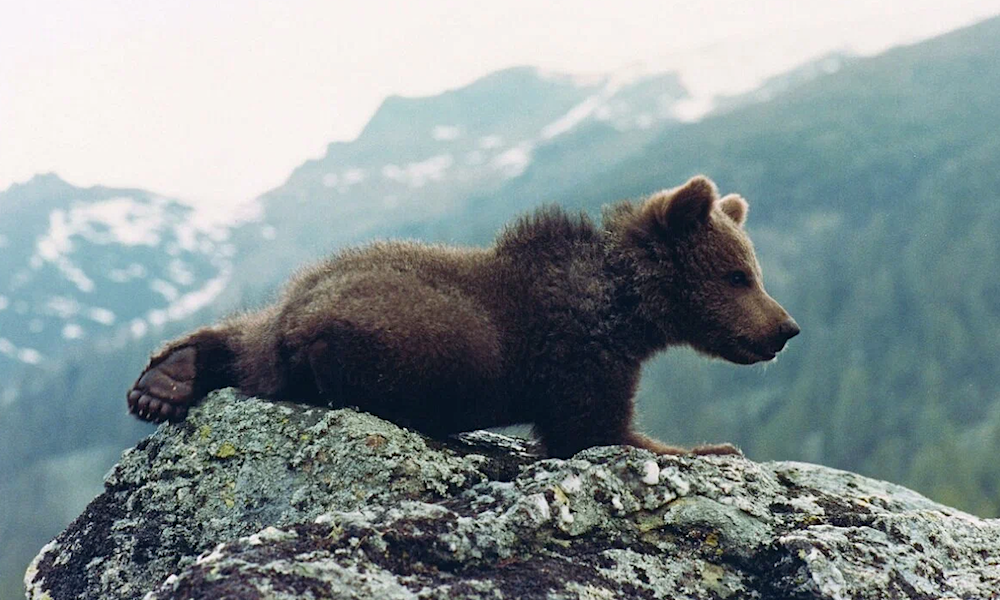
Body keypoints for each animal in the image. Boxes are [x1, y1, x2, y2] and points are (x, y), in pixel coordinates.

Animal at [127, 175, 799, 458]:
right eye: (737, 276)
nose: (786, 329)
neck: (625, 308)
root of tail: (297, 317)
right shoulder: (578, 351)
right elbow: (593, 429)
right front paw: (711, 447)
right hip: (444, 336)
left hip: (301, 295)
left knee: (248, 332)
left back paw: (165, 381)